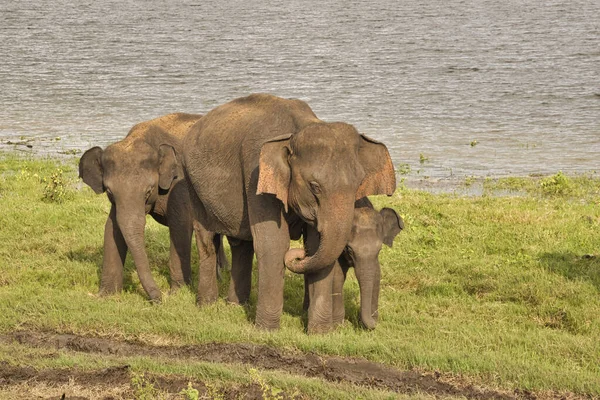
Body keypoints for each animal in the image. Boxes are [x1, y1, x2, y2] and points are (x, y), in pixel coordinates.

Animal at [79, 112, 225, 304]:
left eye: (148, 190)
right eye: (109, 191)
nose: (158, 299)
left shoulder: (180, 185)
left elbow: (180, 226)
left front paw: (177, 293)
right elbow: (112, 228)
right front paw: (105, 296)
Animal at [300, 198, 404, 332]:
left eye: (380, 249)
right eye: (349, 249)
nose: (374, 324)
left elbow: (376, 274)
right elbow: (338, 275)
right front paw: (338, 325)